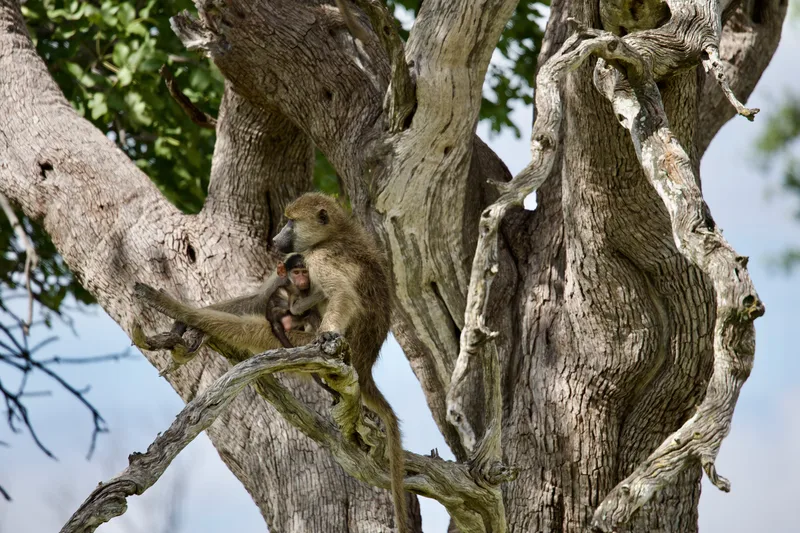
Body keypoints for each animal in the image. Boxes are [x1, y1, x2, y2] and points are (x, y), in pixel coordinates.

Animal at [272, 193, 408, 533]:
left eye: (290, 222)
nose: (275, 239)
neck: (335, 234)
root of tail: (365, 366)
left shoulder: (320, 258)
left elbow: (343, 295)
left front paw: (325, 334)